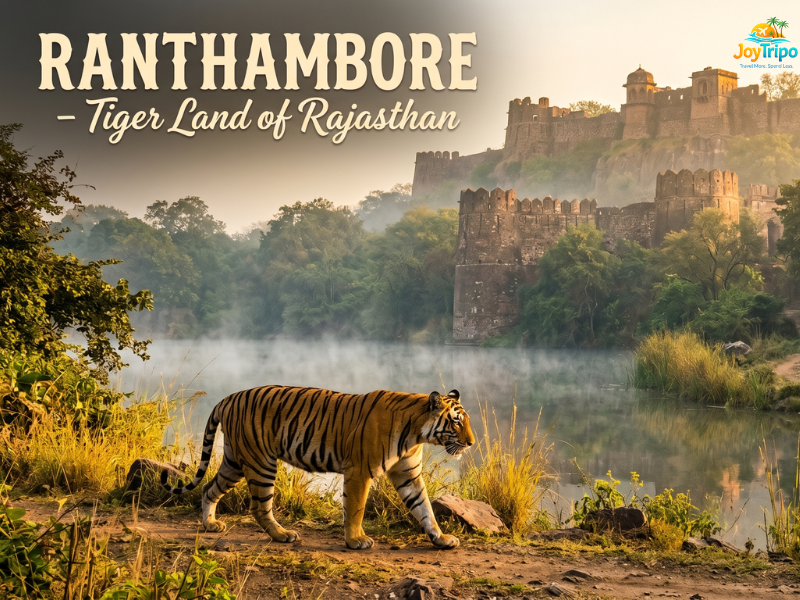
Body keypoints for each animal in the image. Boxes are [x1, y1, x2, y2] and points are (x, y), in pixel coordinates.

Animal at [161, 386, 475, 550]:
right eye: (457, 421)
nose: (472, 443)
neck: (416, 433)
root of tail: (228, 397)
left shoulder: (408, 475)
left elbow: (425, 509)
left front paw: (441, 539)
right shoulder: (360, 471)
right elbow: (356, 508)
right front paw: (356, 540)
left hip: (235, 461)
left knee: (208, 488)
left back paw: (210, 524)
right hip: (260, 463)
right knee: (259, 507)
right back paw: (283, 535)